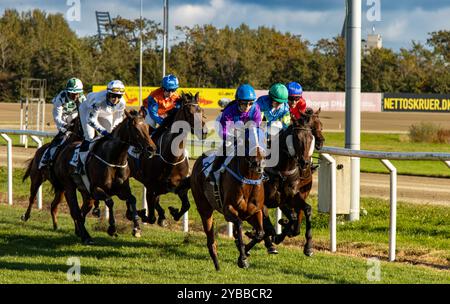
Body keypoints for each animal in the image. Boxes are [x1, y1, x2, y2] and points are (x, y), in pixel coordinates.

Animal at [50, 110, 156, 243]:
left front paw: (136, 228)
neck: (115, 159)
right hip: (69, 187)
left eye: (147, 127)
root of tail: (63, 150)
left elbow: (132, 199)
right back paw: (86, 237)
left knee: (82, 212)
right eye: (136, 129)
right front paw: (112, 228)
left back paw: (81, 233)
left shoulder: (121, 190)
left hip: (86, 194)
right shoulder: (96, 190)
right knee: (75, 211)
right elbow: (110, 201)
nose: (152, 149)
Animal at [130, 91, 207, 227]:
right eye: (189, 112)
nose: (204, 132)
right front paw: (143, 214)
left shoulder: (178, 185)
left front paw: (172, 212)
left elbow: (186, 205)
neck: (171, 159)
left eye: (201, 110)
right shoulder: (151, 186)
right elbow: (151, 215)